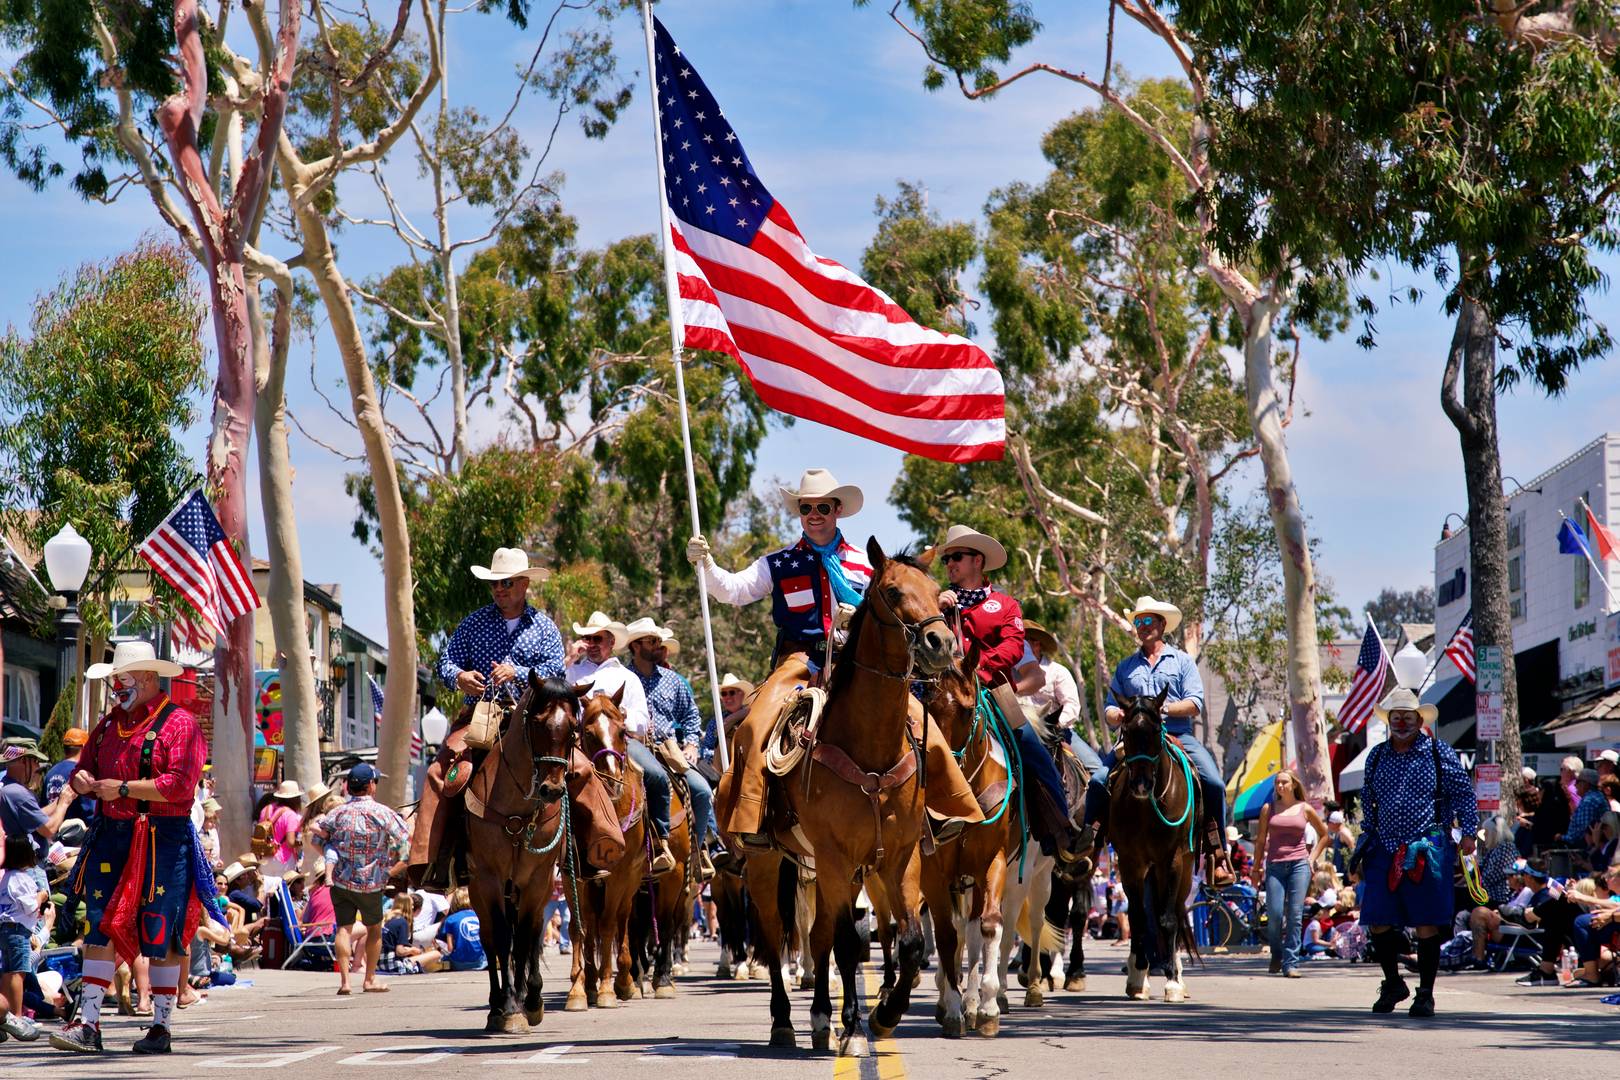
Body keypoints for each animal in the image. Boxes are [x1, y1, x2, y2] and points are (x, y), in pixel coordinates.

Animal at [463, 670, 583, 1036]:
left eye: (573, 727)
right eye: (538, 723)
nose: (552, 790)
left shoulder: (538, 879)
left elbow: (529, 936)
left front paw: (531, 1001)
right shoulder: (489, 877)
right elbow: (502, 940)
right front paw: (509, 1008)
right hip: (481, 889)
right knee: (490, 939)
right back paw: (496, 1005)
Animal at [735, 540, 946, 1055]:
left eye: (938, 593)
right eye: (893, 591)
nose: (942, 642)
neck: (869, 749)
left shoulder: (898, 856)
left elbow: (908, 941)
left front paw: (884, 1015)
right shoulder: (834, 855)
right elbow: (849, 944)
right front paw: (853, 1028)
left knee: (819, 934)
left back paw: (818, 1018)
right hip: (767, 863)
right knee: (775, 936)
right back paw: (784, 1021)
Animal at [1114, 693, 1205, 1003]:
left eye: (1155, 731)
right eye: (1127, 731)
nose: (1141, 784)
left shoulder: (1172, 860)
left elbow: (1167, 920)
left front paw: (1173, 981)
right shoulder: (1130, 862)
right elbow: (1138, 918)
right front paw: (1137, 977)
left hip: (1184, 870)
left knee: (1174, 911)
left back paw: (1176, 972)